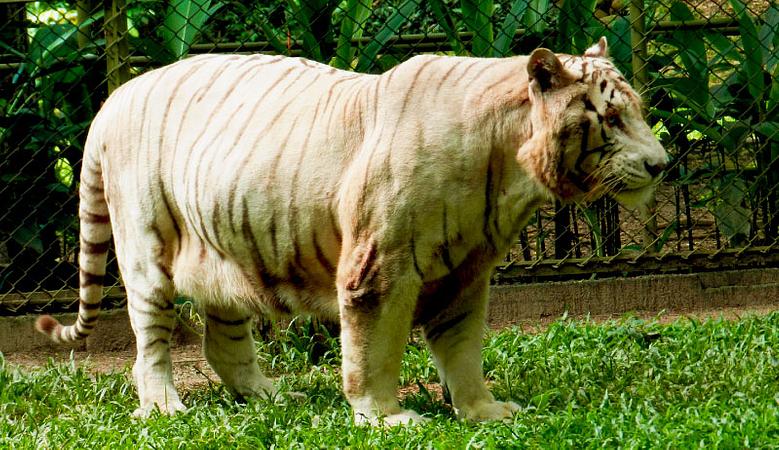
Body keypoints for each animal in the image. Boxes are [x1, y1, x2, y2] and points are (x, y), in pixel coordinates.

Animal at [36, 36, 668, 426]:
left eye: (637, 110)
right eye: (611, 118)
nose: (662, 165)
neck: (511, 167)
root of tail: (114, 97)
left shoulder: (466, 273)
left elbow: (463, 349)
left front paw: (484, 412)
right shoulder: (380, 265)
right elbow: (374, 348)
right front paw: (385, 417)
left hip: (224, 251)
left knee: (222, 341)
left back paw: (269, 396)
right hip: (146, 252)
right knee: (150, 341)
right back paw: (166, 407)